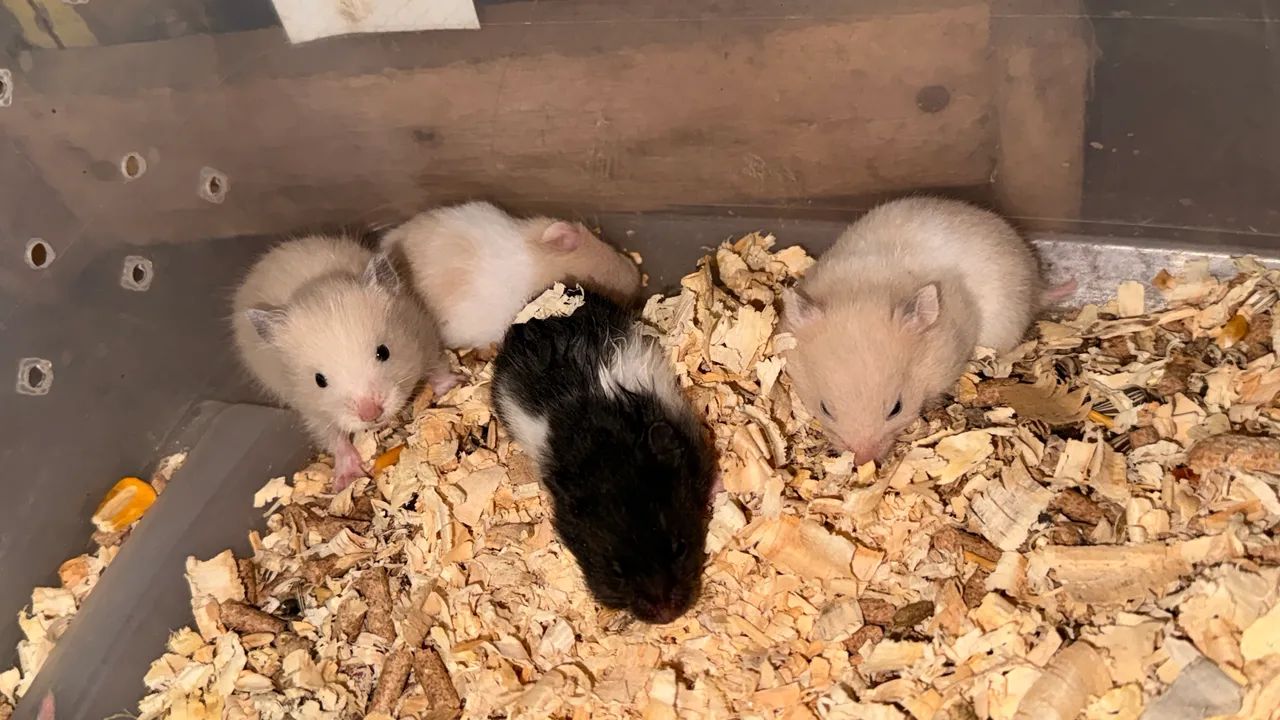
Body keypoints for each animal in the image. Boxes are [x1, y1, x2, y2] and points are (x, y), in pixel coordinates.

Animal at [232, 234, 455, 490]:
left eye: (384, 352)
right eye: (319, 380)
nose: (371, 416)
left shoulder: (423, 333)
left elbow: (436, 366)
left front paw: (453, 386)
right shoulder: (310, 409)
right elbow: (334, 438)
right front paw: (345, 479)